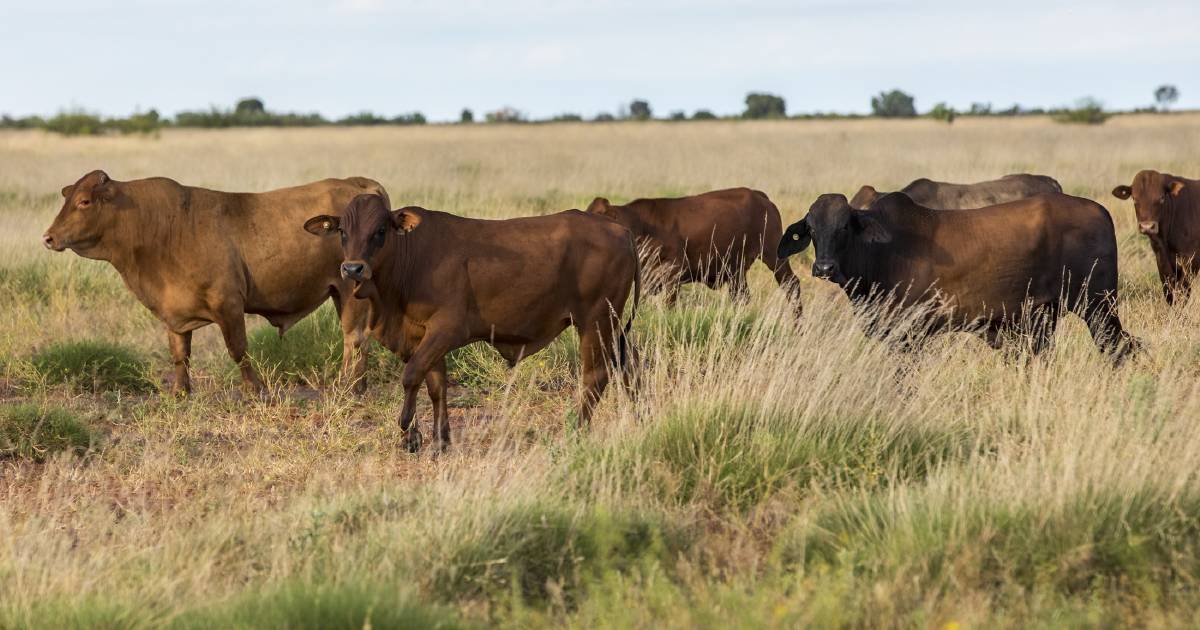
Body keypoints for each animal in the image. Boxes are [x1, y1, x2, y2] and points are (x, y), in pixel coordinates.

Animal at [42, 170, 386, 393]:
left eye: (84, 202)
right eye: (67, 199)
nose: (49, 237)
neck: (161, 227)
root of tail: (356, 183)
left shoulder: (228, 304)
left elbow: (238, 350)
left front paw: (255, 390)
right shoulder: (175, 314)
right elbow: (180, 355)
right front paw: (180, 393)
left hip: (349, 290)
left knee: (353, 338)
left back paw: (348, 386)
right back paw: (359, 385)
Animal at [304, 194, 643, 448]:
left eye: (380, 231)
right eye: (343, 232)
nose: (352, 268)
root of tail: (620, 231)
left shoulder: (446, 329)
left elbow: (411, 376)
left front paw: (407, 430)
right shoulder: (422, 336)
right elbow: (435, 385)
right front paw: (439, 440)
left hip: (595, 322)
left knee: (596, 376)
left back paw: (576, 432)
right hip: (613, 326)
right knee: (630, 366)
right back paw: (640, 417)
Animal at [585, 188, 801, 312]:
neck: (641, 227)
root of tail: (760, 196)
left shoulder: (673, 275)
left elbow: (669, 307)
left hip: (774, 254)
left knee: (792, 285)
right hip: (736, 272)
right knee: (742, 297)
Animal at [777, 192, 1132, 357]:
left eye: (844, 227)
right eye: (811, 228)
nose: (824, 267)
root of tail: (1099, 210)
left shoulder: (909, 337)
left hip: (1099, 308)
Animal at [1108, 169, 1195, 302]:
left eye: (1161, 198)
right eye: (1134, 198)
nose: (1147, 226)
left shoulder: (1190, 258)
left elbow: (1183, 289)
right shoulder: (1161, 257)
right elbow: (1169, 287)